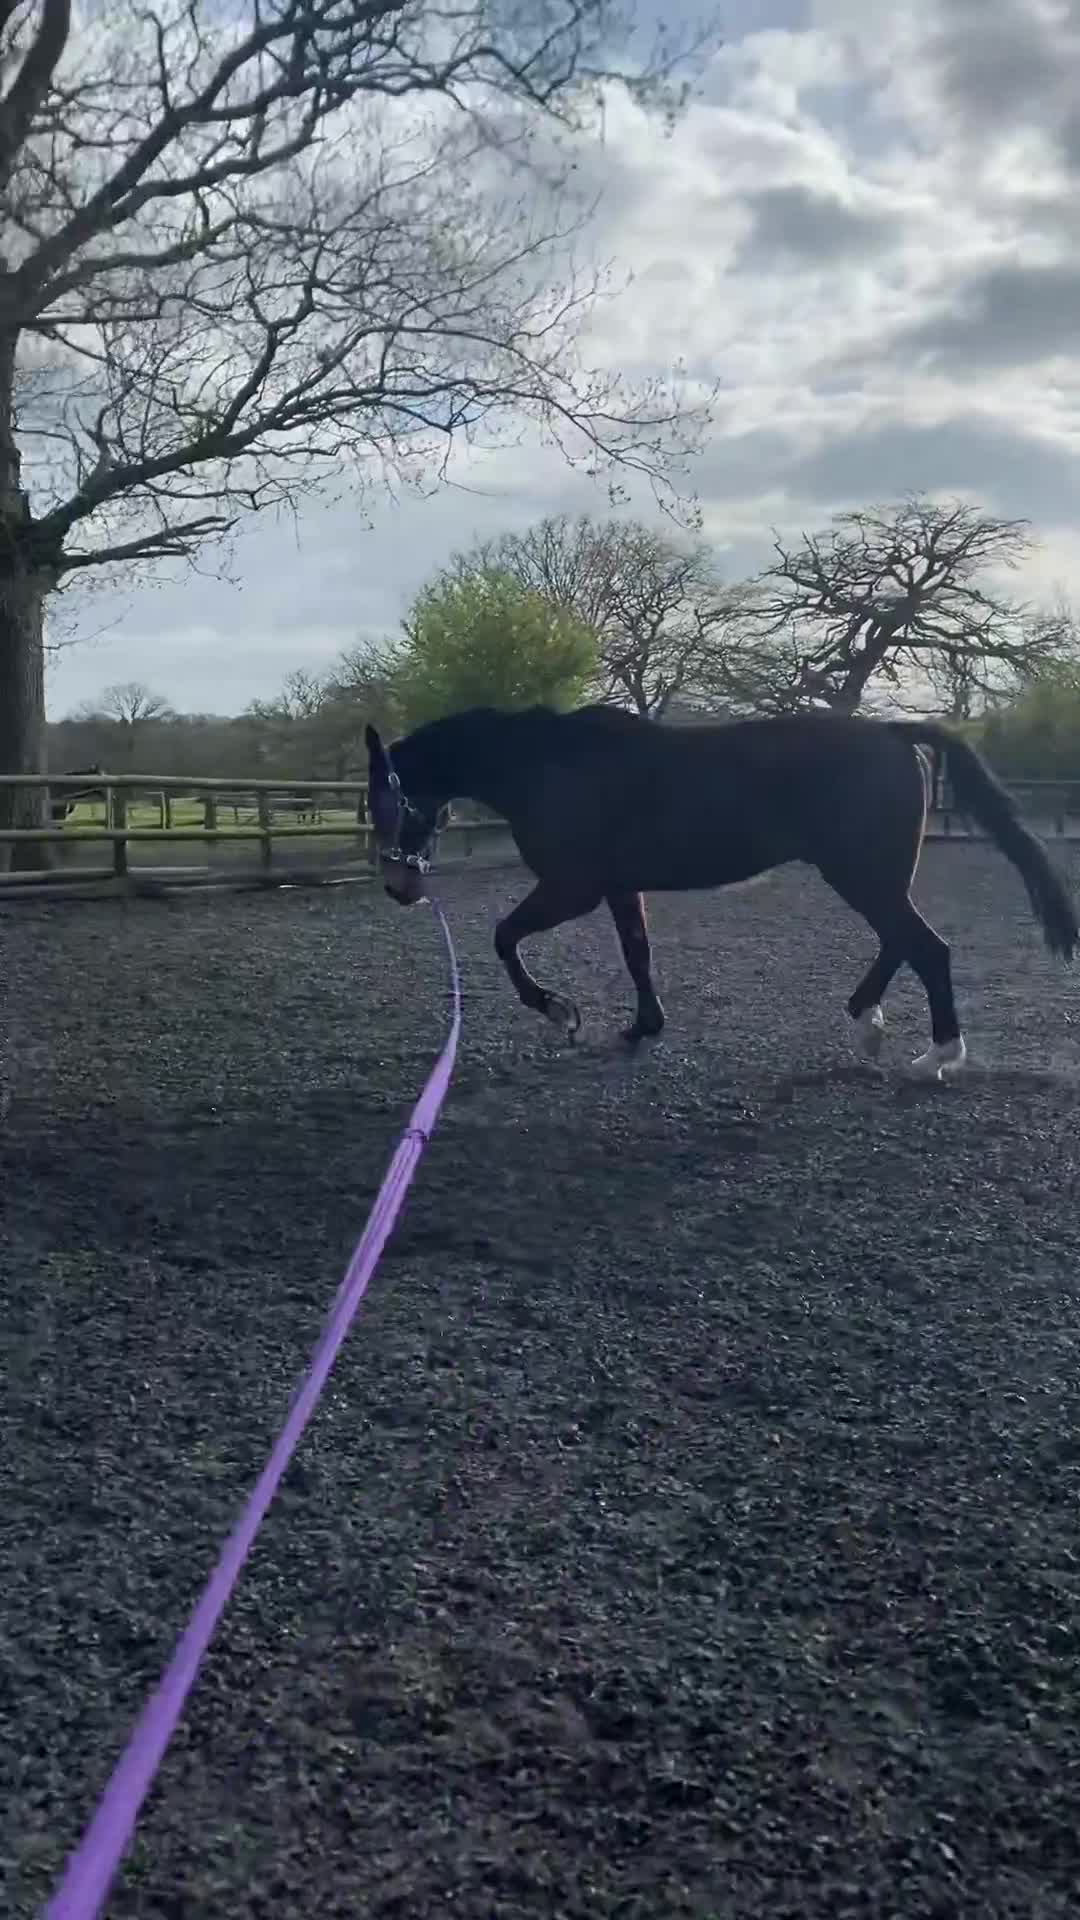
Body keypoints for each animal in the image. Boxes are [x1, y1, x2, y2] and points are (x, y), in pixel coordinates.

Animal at [364, 705, 1078, 1080]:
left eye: (382, 801)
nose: (398, 887)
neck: (549, 767)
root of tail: (893, 731)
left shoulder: (573, 887)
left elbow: (504, 937)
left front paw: (560, 1012)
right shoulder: (620, 888)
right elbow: (638, 955)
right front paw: (641, 1027)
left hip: (862, 874)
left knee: (926, 948)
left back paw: (936, 1054)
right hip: (869, 875)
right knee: (902, 943)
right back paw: (867, 1021)